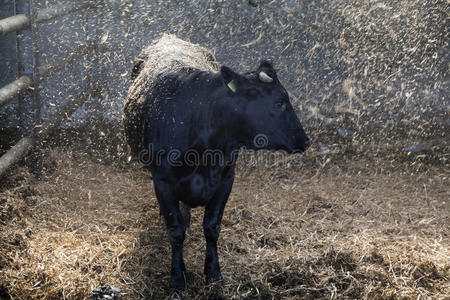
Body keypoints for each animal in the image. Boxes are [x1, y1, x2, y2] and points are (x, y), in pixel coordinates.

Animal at [125, 58, 310, 290]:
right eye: (279, 103)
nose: (305, 140)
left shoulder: (225, 181)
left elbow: (212, 228)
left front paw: (213, 273)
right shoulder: (163, 182)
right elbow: (176, 230)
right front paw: (177, 278)